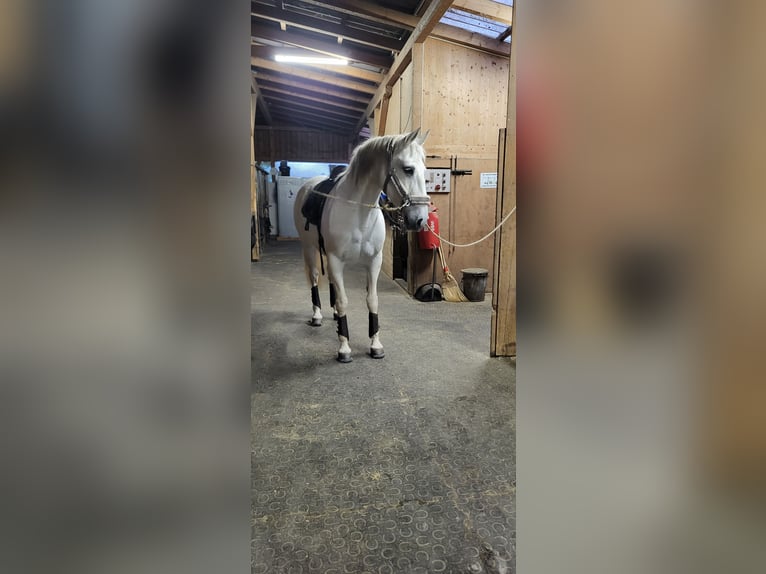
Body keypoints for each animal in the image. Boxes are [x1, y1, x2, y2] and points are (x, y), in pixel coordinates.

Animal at [294, 131, 432, 364]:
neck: (358, 212)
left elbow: (372, 300)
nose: (420, 220)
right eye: (408, 169)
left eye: (425, 172)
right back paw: (317, 315)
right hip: (309, 249)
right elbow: (343, 301)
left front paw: (376, 345)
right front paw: (344, 348)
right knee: (313, 278)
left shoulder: (373, 261)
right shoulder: (336, 261)